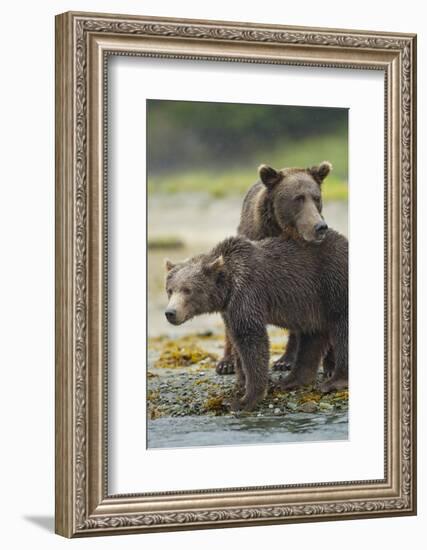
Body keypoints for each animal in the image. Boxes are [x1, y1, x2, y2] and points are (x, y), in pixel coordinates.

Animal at [166, 231, 350, 412]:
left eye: (188, 290)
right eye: (170, 290)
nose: (170, 312)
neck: (228, 287)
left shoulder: (247, 293)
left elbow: (252, 340)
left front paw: (246, 399)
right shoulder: (229, 309)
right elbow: (237, 342)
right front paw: (241, 383)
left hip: (332, 282)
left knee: (341, 329)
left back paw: (334, 381)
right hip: (312, 303)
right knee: (311, 337)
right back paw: (290, 381)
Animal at [217, 161, 334, 380]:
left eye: (316, 197)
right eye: (298, 198)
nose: (320, 227)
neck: (282, 231)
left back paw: (286, 359)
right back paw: (225, 363)